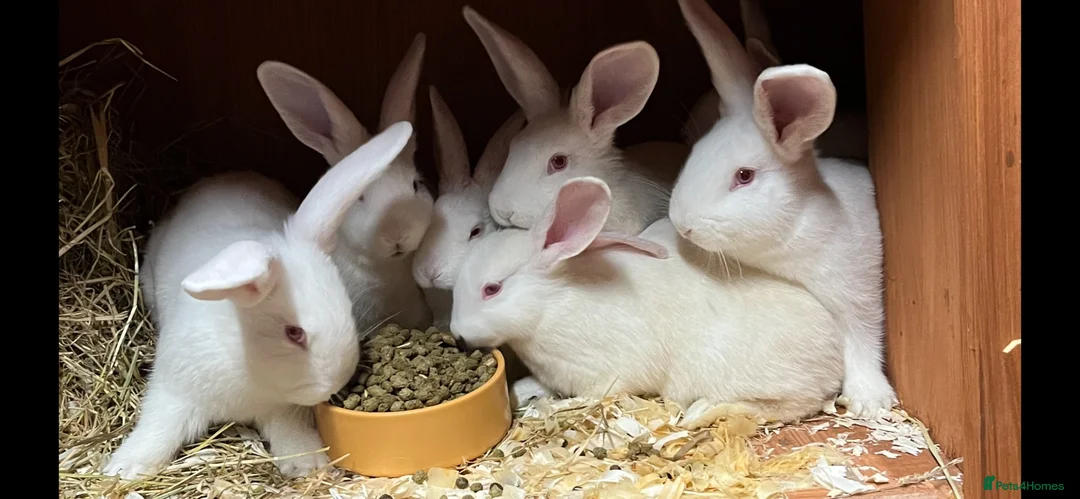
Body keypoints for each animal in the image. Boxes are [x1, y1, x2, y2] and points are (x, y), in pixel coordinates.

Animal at [102, 123, 414, 480]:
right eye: (294, 333)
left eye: (348, 309)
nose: (334, 384)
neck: (248, 363)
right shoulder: (174, 390)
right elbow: (157, 428)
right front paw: (122, 469)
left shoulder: (282, 409)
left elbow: (289, 432)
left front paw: (307, 464)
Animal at [450, 176, 844, 425]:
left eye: (492, 289)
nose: (458, 336)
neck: (550, 304)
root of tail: (833, 362)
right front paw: (522, 391)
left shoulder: (606, 373)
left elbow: (593, 396)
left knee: (785, 406)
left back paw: (701, 413)